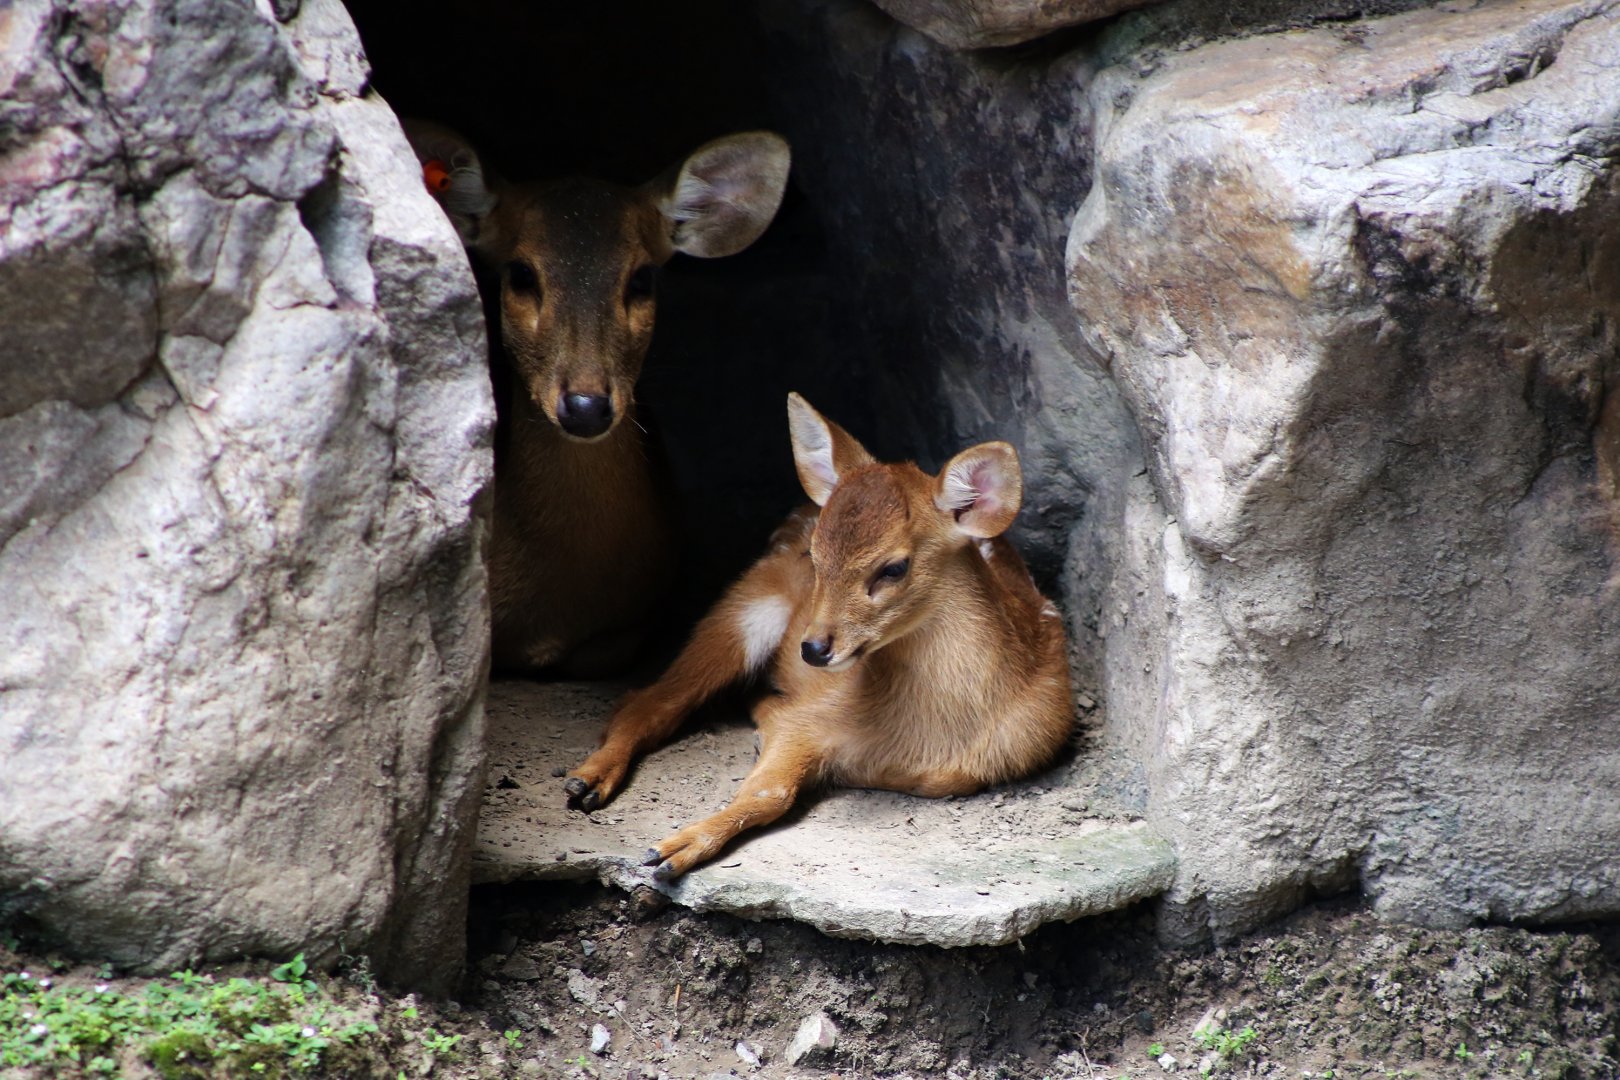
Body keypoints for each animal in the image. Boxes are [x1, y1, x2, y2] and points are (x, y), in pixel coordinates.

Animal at [564, 393, 1075, 878]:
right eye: (816, 555)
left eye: (894, 568)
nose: (812, 648)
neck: (925, 736)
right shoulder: (807, 720)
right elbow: (769, 792)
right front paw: (671, 850)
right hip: (747, 605)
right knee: (650, 698)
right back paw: (585, 781)